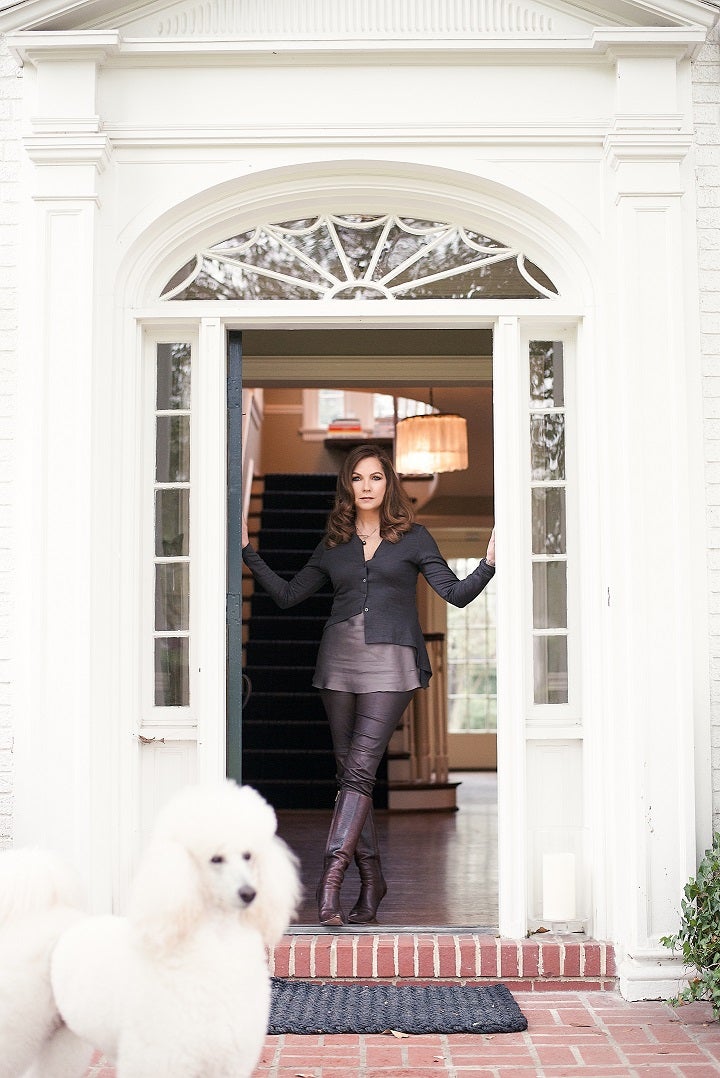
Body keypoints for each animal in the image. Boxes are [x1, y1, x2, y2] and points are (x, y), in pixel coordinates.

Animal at [52, 784, 301, 1078]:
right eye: (215, 859)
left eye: (248, 856)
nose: (249, 893)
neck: (218, 944)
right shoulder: (163, 1055)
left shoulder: (227, 1055)